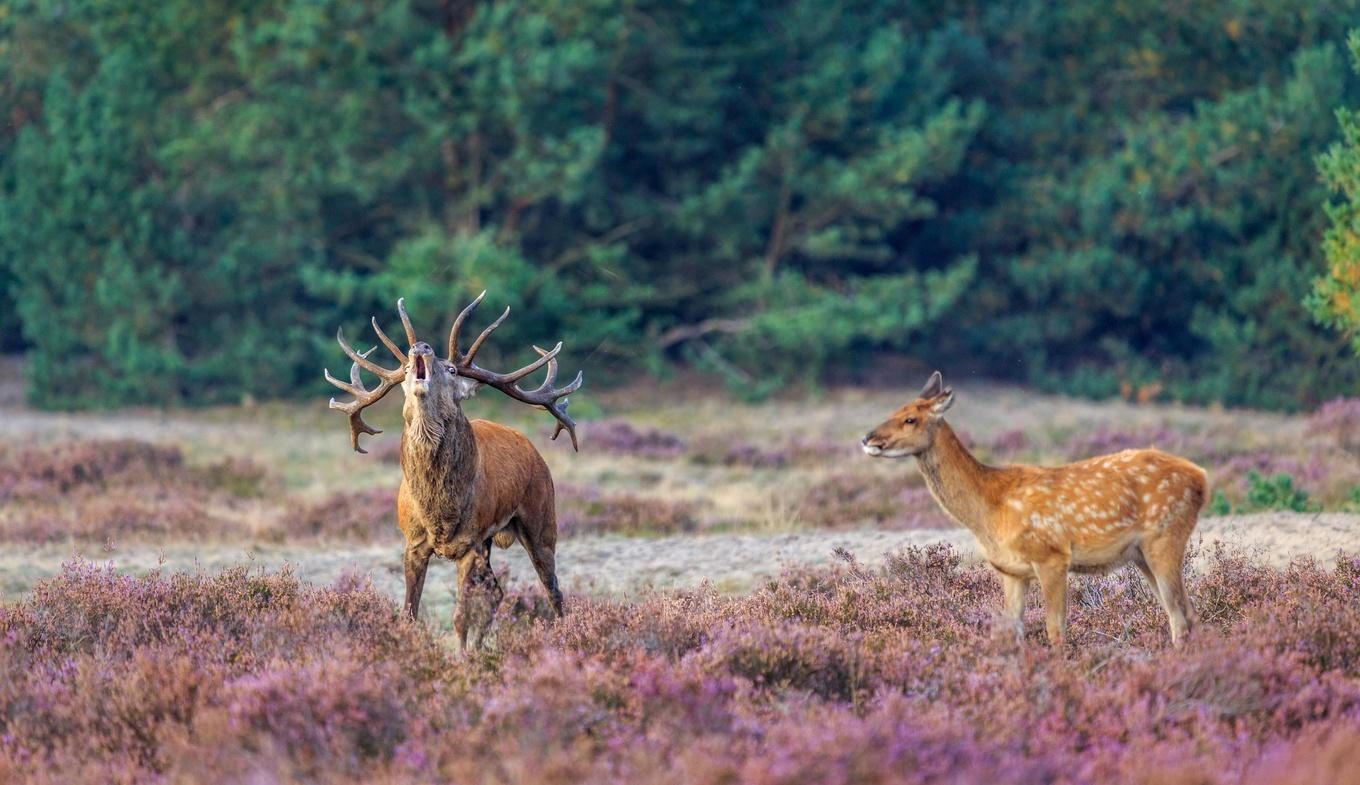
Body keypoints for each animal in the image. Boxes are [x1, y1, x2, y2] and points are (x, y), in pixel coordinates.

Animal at [330, 293, 584, 647]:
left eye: (450, 368)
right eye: (405, 368)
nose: (420, 346)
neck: (440, 512)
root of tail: (532, 449)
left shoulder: (469, 543)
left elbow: (460, 617)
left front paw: (461, 656)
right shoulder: (413, 543)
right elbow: (409, 613)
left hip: (541, 518)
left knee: (554, 592)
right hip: (490, 541)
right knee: (496, 592)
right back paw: (481, 647)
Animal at [864, 370, 1207, 644]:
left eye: (911, 419)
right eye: (894, 409)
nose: (868, 438)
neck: (989, 509)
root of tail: (1201, 477)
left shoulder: (1051, 555)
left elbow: (1056, 630)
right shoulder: (1011, 570)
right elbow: (1012, 630)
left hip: (1165, 535)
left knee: (1180, 615)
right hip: (1140, 554)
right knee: (1186, 613)